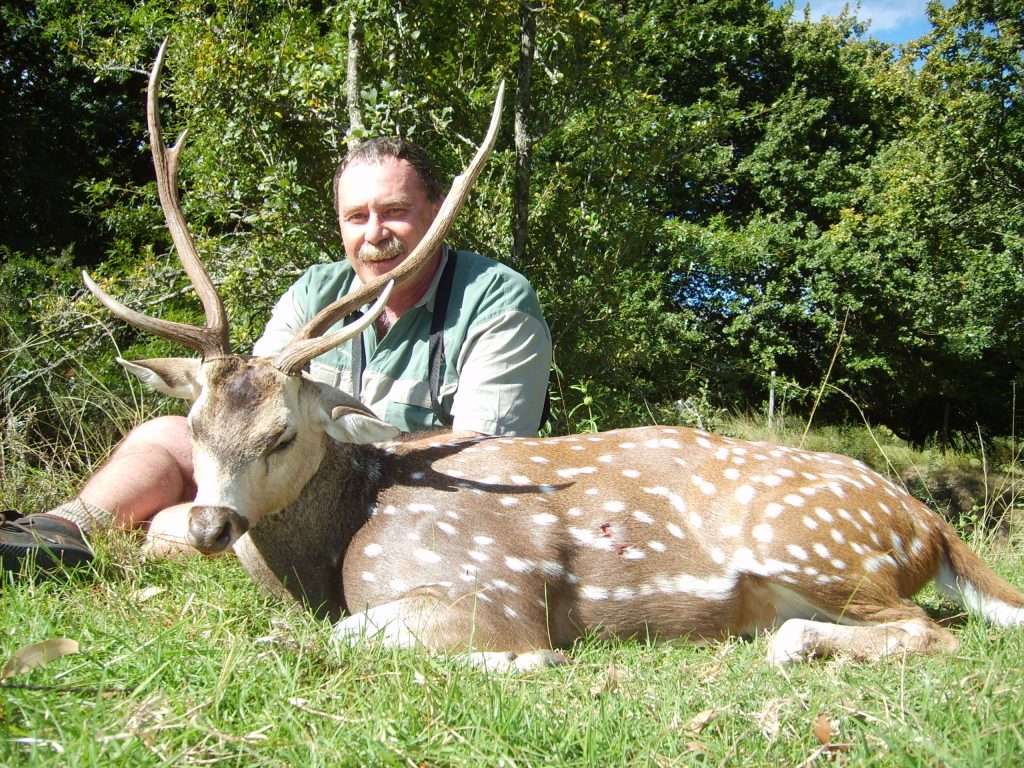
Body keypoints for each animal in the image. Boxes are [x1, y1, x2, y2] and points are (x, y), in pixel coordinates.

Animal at [84, 42, 1024, 671]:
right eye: (193, 424)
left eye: (283, 432)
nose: (211, 525)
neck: (337, 546)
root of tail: (928, 521)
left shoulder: (485, 588)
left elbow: (369, 637)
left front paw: (516, 661)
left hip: (815, 544)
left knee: (924, 631)